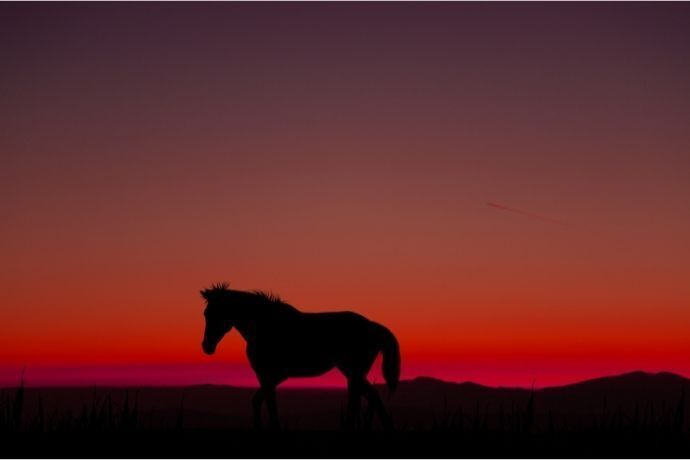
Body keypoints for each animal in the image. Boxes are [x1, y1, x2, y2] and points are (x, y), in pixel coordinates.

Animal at [199, 282, 398, 430]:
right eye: (206, 313)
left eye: (216, 313)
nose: (206, 346)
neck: (263, 326)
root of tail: (372, 325)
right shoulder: (269, 376)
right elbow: (266, 401)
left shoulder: (271, 375)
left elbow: (261, 401)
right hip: (354, 373)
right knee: (370, 396)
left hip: (354, 372)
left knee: (358, 399)